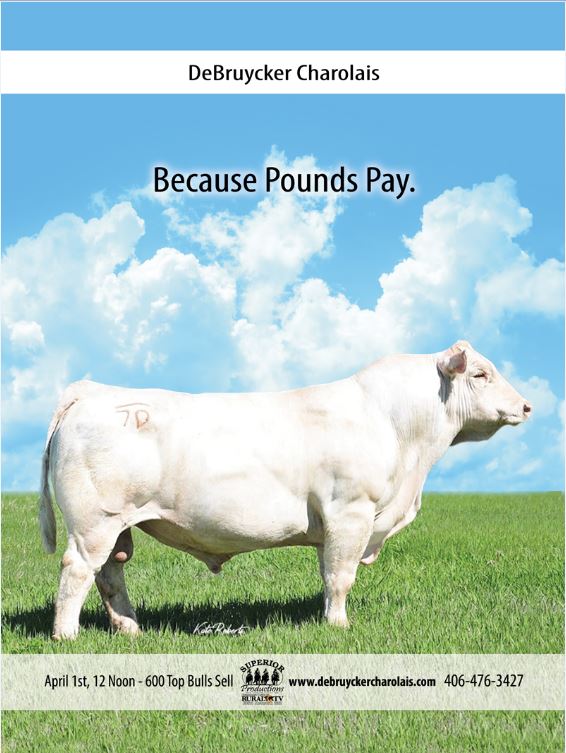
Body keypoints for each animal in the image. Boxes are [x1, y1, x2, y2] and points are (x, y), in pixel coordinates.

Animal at [39, 340, 531, 640]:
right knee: (77, 569)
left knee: (111, 574)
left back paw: (130, 628)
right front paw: (338, 626)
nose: (526, 406)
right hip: (94, 522)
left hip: (115, 525)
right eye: (481, 374)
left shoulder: (333, 522)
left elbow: (329, 574)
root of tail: (92, 391)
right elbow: (341, 576)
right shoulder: (351, 511)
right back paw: (66, 634)